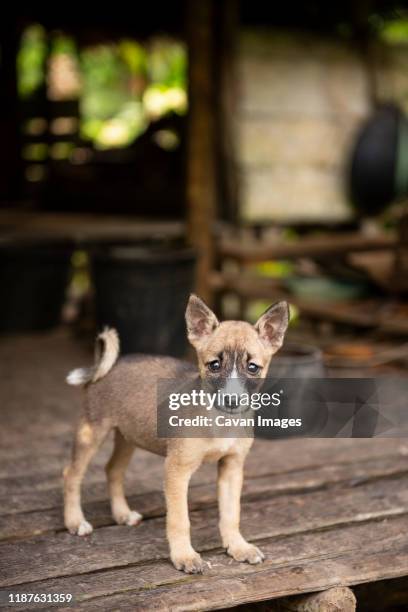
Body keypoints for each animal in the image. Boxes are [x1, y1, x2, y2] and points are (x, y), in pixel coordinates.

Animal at [63, 296, 288, 572]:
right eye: (214, 365)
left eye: (253, 367)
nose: (232, 400)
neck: (219, 419)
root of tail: (109, 365)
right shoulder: (177, 470)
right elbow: (180, 519)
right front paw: (184, 556)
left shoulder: (232, 467)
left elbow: (231, 513)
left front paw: (238, 547)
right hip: (92, 431)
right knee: (72, 474)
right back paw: (75, 521)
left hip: (127, 436)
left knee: (112, 469)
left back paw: (122, 514)